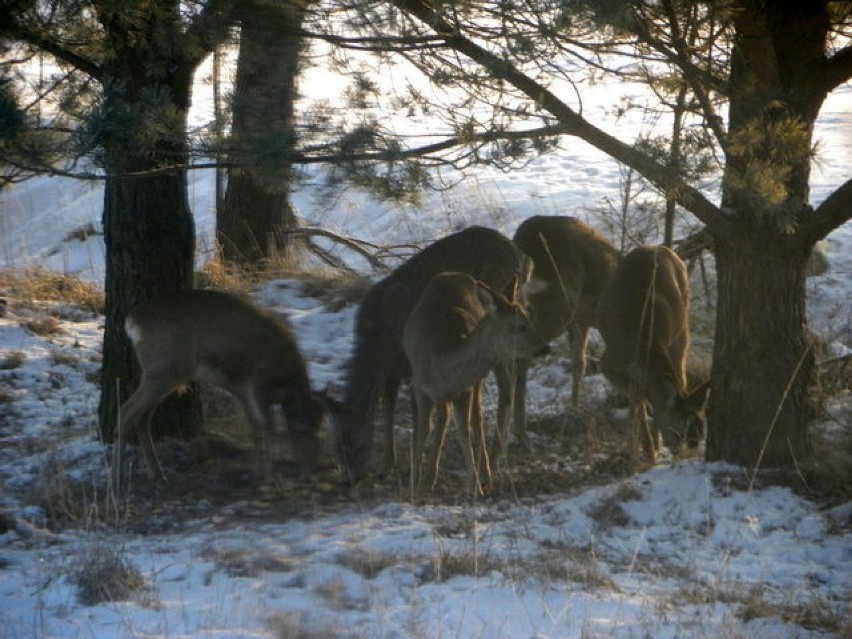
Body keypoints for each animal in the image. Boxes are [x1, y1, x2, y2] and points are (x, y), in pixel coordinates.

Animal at [113, 290, 322, 484]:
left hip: (164, 375)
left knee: (142, 417)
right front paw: (270, 478)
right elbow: (267, 426)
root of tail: (133, 320)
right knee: (125, 412)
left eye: (318, 427)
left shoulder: (240, 387)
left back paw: (157, 474)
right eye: (303, 428)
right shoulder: (257, 381)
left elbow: (255, 425)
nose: (313, 468)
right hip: (163, 370)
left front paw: (259, 472)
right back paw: (118, 479)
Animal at [338, 228, 532, 482]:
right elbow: (389, 408)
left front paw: (413, 466)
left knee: (507, 381)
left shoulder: (411, 366)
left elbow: (421, 417)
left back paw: (495, 455)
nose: (350, 479)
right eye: (338, 446)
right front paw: (388, 464)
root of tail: (523, 256)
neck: (378, 341)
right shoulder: (395, 371)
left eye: (360, 446)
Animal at [402, 270, 548, 496]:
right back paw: (430, 476)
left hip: (477, 380)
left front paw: (475, 487)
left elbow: (464, 431)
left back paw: (484, 473)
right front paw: (414, 482)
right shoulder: (419, 384)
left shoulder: (466, 388)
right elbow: (424, 430)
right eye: (520, 326)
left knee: (474, 419)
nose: (545, 348)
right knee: (444, 417)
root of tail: (452, 274)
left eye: (528, 319)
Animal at [500, 216, 620, 456]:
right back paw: (521, 434)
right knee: (520, 357)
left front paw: (575, 409)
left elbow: (579, 362)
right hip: (557, 302)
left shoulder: (580, 322)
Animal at [596, 246, 708, 464]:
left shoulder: (678, 344)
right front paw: (647, 450)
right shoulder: (608, 363)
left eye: (700, 436)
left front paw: (654, 446)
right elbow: (638, 396)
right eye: (678, 433)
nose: (685, 458)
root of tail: (657, 247)